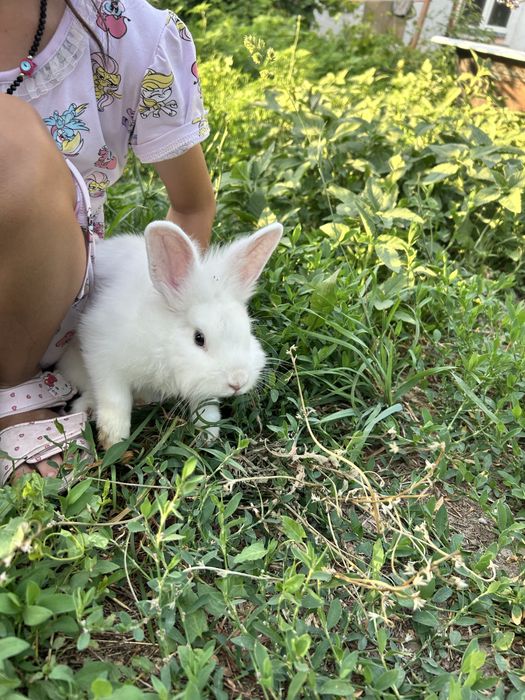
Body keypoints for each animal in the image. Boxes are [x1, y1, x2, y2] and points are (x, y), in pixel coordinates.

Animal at [58, 220, 283, 449]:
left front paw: (208, 434)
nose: (237, 381)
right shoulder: (101, 353)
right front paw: (114, 439)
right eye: (199, 338)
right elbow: (114, 397)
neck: (165, 343)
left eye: (247, 330)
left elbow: (206, 405)